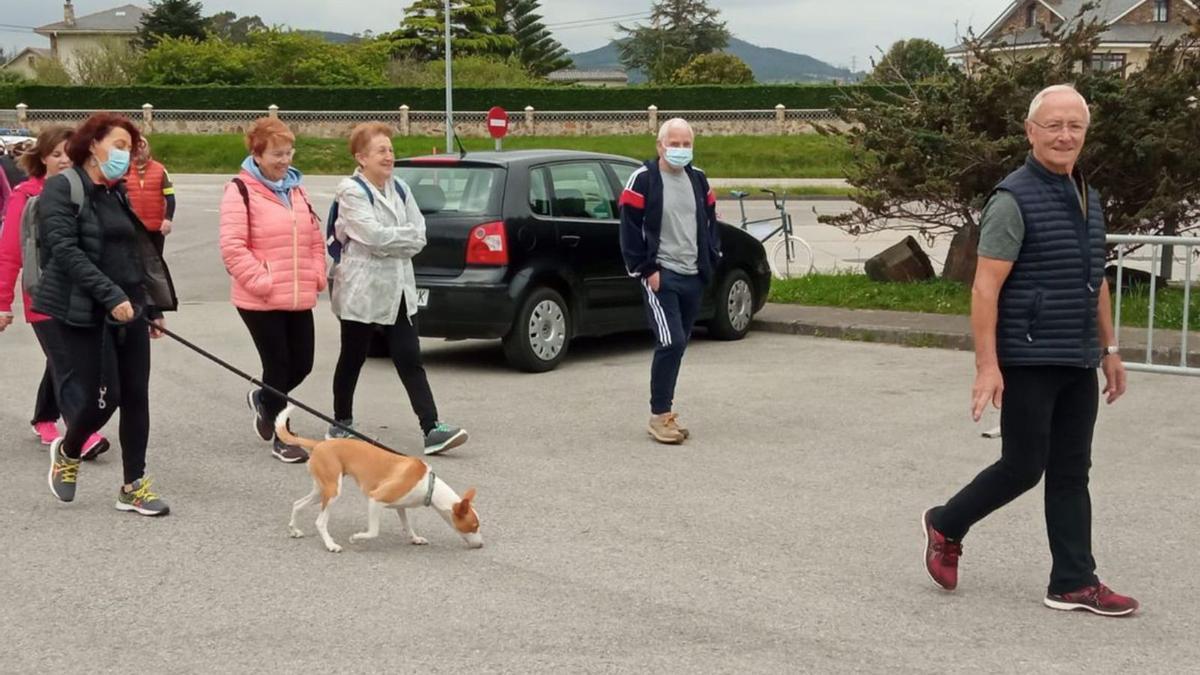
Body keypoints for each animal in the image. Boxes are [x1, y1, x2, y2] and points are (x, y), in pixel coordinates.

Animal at [278, 403, 484, 552]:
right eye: (474, 526)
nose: (481, 545)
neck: (429, 486)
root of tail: (319, 444)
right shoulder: (375, 499)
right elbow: (373, 532)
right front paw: (357, 537)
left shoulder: (400, 506)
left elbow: (407, 526)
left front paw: (415, 538)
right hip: (333, 491)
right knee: (320, 522)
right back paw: (331, 545)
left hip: (323, 489)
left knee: (297, 504)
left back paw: (294, 530)